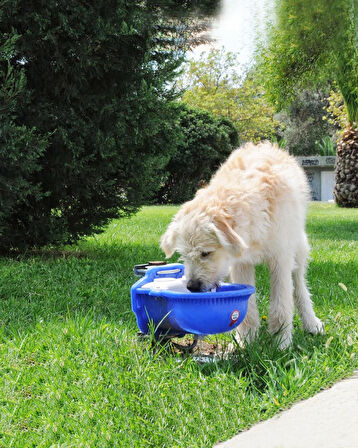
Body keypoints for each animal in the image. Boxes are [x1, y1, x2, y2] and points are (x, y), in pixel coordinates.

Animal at [161, 142, 324, 348]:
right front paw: (245, 343)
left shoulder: (281, 259)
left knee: (299, 285)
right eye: (184, 256)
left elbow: (282, 304)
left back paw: (311, 323)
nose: (192, 287)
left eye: (206, 253)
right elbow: (248, 308)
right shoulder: (241, 264)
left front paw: (281, 343)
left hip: (299, 247)